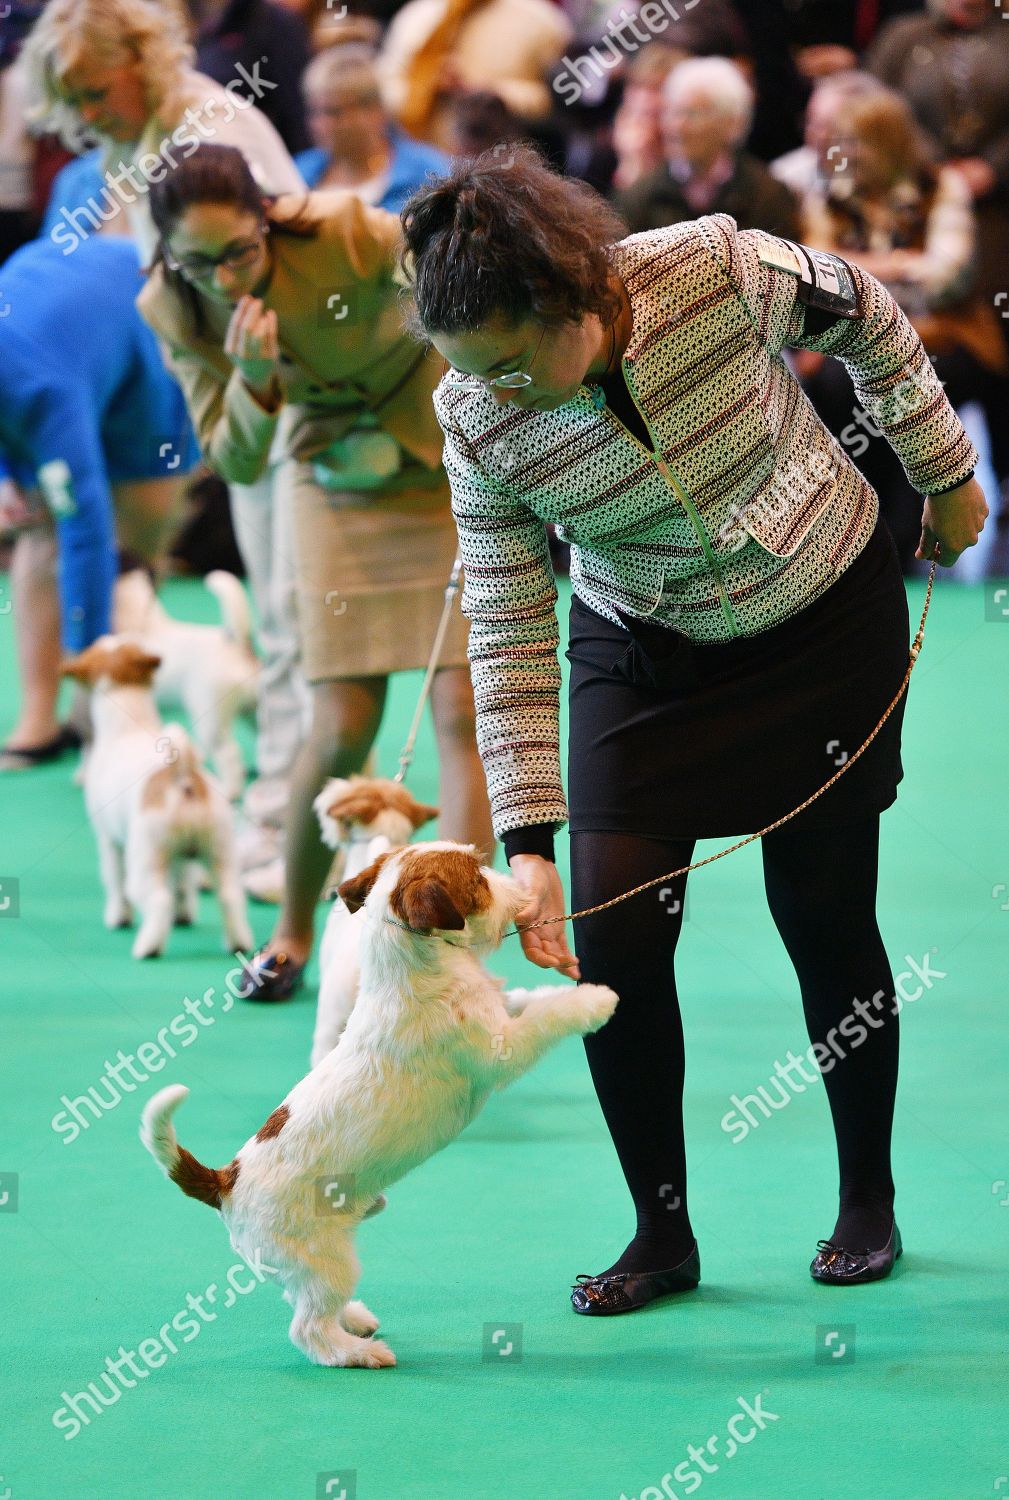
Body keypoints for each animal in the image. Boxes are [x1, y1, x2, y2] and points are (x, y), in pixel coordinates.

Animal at [64, 639, 251, 954]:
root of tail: (183, 778)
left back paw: (148, 946)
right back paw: (238, 941)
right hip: (220, 854)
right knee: (229, 897)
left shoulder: (110, 842)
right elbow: (183, 886)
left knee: (157, 900)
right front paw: (183, 914)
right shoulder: (180, 857)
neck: (126, 727)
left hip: (145, 860)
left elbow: (115, 883)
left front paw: (118, 917)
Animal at [140, 846, 614, 1374]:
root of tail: (225, 1183)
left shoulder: (499, 1010)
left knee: (297, 1297)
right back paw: (358, 1352)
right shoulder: (502, 1049)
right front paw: (595, 1000)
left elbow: (528, 1001)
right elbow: (544, 1019)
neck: (411, 961)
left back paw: (355, 1318)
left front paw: (565, 989)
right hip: (326, 1261)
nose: (524, 891)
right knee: (307, 1327)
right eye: (477, 878)